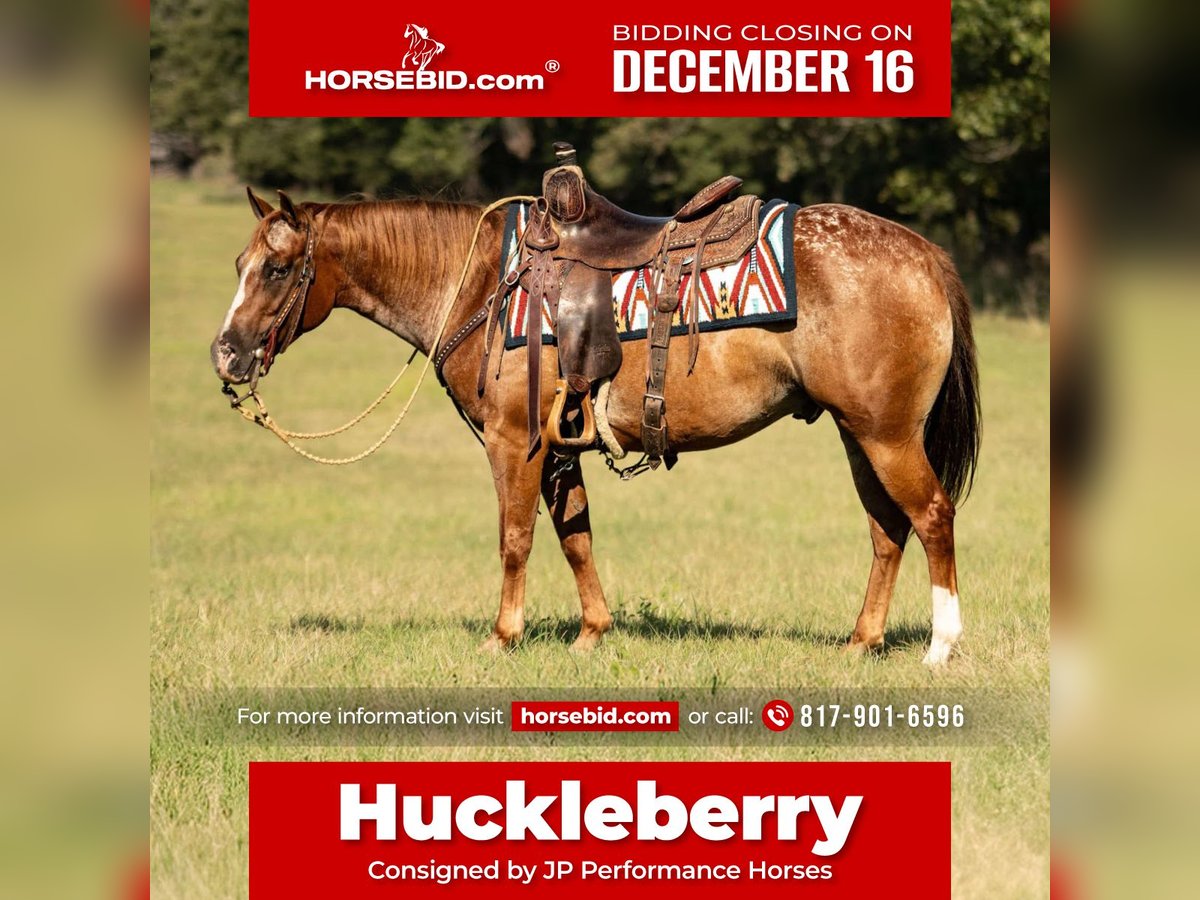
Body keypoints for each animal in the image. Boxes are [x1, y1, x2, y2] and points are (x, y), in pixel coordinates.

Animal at [213, 187, 984, 667]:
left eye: (278, 268)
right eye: (239, 263)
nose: (226, 352)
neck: (482, 284)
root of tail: (922, 252)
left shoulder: (515, 441)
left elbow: (517, 540)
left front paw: (504, 636)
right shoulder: (561, 448)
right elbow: (575, 537)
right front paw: (591, 633)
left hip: (887, 436)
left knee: (932, 516)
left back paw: (941, 645)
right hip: (860, 434)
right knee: (887, 530)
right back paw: (861, 641)